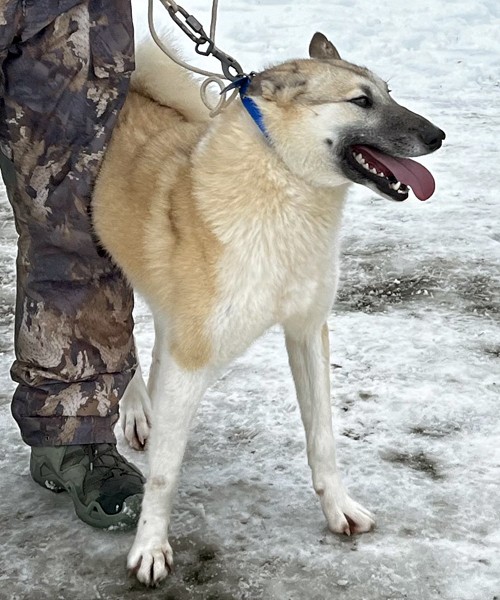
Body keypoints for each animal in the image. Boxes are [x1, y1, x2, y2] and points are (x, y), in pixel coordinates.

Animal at [93, 31, 445, 586]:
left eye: (389, 93)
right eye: (360, 101)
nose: (438, 135)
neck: (285, 191)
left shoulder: (307, 331)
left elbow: (322, 440)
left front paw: (338, 509)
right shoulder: (194, 356)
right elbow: (165, 475)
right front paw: (149, 546)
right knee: (116, 341)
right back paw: (135, 411)